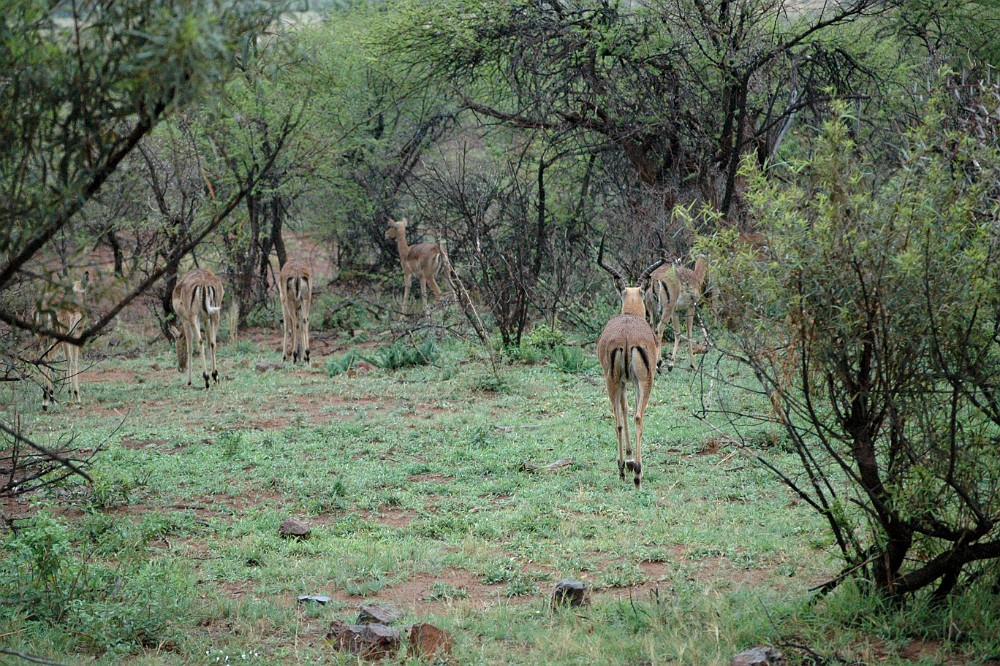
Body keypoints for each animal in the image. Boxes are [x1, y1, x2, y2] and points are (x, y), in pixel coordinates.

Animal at [35, 271, 89, 411]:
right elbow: (74, 361)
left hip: (42, 338)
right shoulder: (76, 334)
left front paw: (69, 393)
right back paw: (46, 401)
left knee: (43, 358)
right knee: (48, 357)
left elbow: (68, 359)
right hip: (57, 338)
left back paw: (50, 398)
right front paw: (76, 396)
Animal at [596, 239, 666, 488]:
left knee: (618, 419)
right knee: (637, 416)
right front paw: (630, 460)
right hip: (644, 381)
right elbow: (630, 411)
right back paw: (635, 472)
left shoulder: (624, 381)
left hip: (612, 380)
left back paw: (625, 468)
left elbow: (624, 410)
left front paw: (628, 459)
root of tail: (627, 339)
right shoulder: (633, 382)